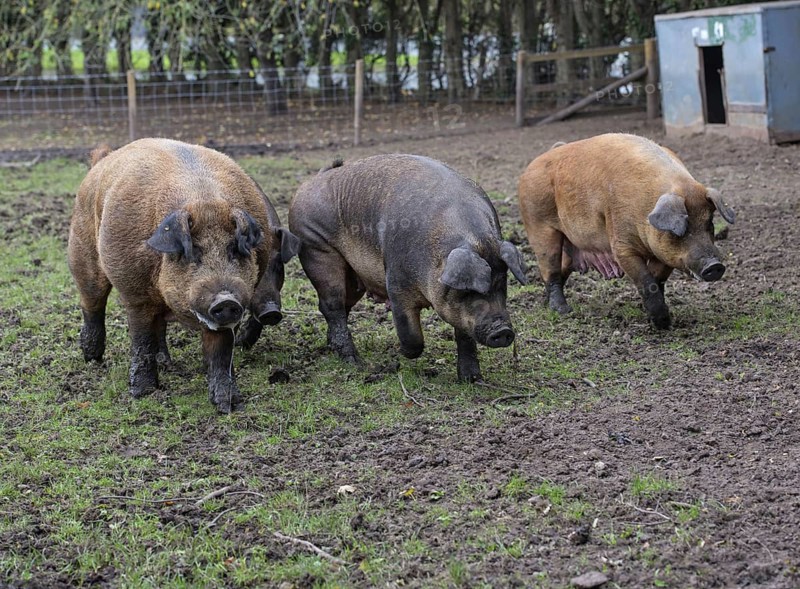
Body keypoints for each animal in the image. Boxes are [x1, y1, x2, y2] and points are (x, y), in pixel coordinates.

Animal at [67, 138, 300, 413]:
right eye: (193, 252)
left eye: (234, 249)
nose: (225, 299)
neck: (203, 202)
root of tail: (102, 160)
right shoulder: (135, 294)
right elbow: (141, 340)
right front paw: (143, 394)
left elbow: (221, 352)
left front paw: (230, 406)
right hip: (82, 254)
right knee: (92, 304)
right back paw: (92, 358)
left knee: (158, 325)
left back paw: (166, 363)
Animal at [287, 154, 528, 382]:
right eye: (470, 290)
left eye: (502, 284)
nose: (504, 331)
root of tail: (309, 182)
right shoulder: (396, 283)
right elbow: (411, 335)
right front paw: (400, 353)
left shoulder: (460, 312)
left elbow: (465, 337)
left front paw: (472, 380)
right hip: (316, 247)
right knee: (332, 305)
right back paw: (354, 361)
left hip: (353, 279)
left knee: (338, 308)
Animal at [518, 133, 735, 329]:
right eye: (681, 230)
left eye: (709, 224)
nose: (715, 265)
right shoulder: (621, 245)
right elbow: (647, 281)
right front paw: (663, 324)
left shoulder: (664, 254)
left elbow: (657, 280)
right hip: (539, 227)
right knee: (550, 271)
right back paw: (563, 310)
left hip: (570, 246)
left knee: (560, 270)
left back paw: (547, 304)